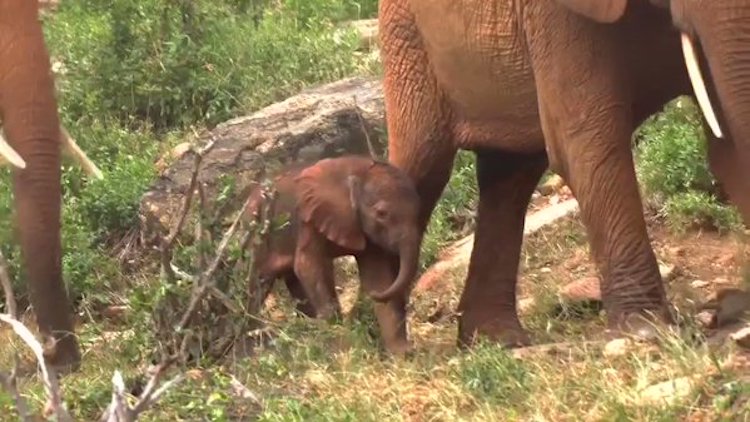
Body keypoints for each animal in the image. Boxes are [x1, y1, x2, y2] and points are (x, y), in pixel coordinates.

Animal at [245, 155, 424, 352]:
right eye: (381, 213)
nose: (371, 295)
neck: (356, 172)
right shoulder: (308, 219)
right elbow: (307, 266)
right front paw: (336, 332)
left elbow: (378, 276)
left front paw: (402, 353)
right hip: (255, 235)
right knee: (258, 284)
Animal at [378, 0, 750, 348]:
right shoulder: (555, 17)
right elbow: (588, 143)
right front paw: (646, 330)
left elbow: (725, 142)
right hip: (408, 41)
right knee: (425, 168)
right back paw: (391, 344)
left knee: (511, 175)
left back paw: (497, 340)